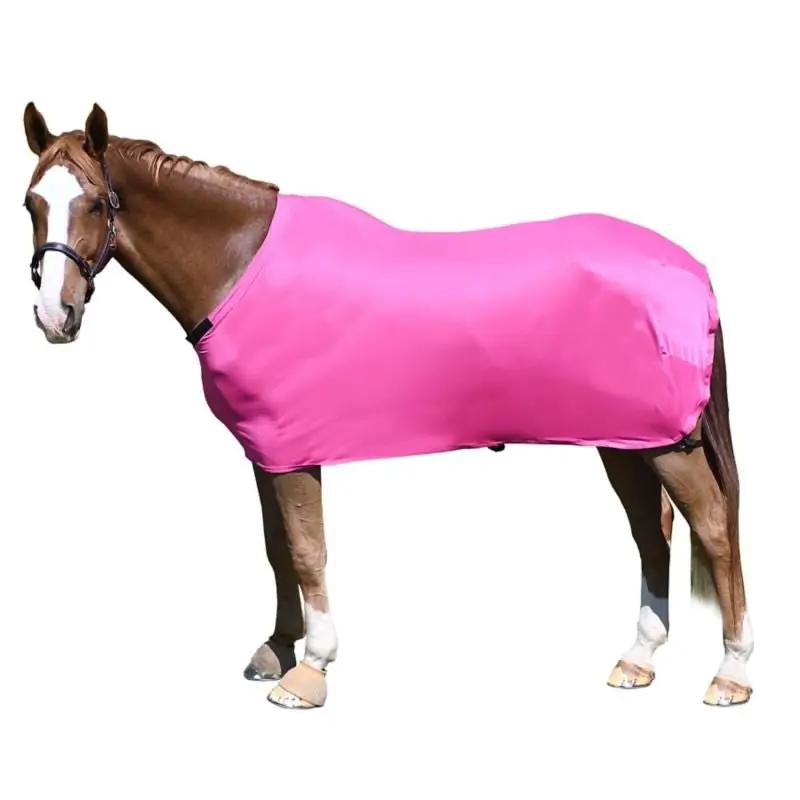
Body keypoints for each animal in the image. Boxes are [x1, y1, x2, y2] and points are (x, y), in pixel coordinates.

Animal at [22, 103, 753, 708]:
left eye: (95, 203)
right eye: (31, 202)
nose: (55, 316)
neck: (240, 266)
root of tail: (690, 270)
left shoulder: (293, 452)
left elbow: (308, 550)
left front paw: (310, 671)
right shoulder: (266, 451)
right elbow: (276, 550)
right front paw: (276, 648)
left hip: (668, 444)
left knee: (715, 529)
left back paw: (731, 673)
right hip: (623, 441)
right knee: (652, 533)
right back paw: (638, 659)